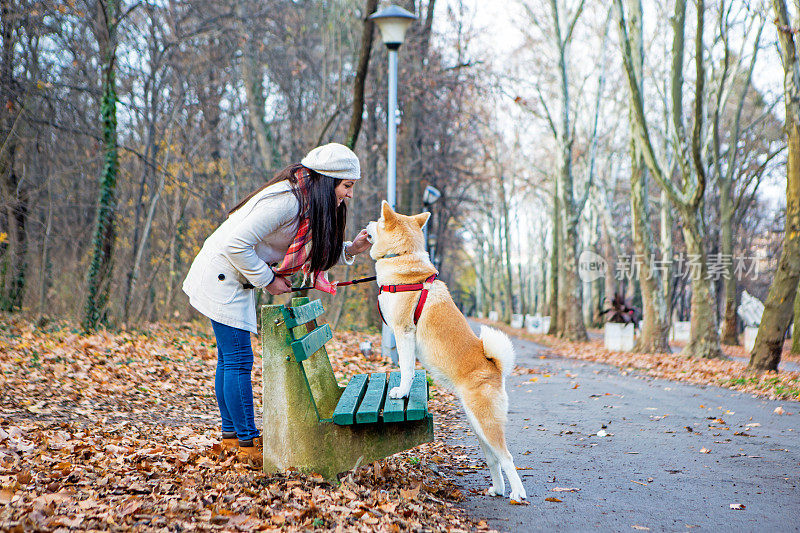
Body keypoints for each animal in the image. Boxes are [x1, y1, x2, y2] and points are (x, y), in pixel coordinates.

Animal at [366, 202, 528, 500]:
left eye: (378, 221)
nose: (366, 225)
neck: (403, 260)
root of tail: (495, 368)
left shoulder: (404, 332)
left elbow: (406, 368)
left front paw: (401, 392)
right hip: (477, 424)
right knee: (493, 458)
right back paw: (497, 489)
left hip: (486, 423)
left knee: (507, 457)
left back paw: (517, 493)